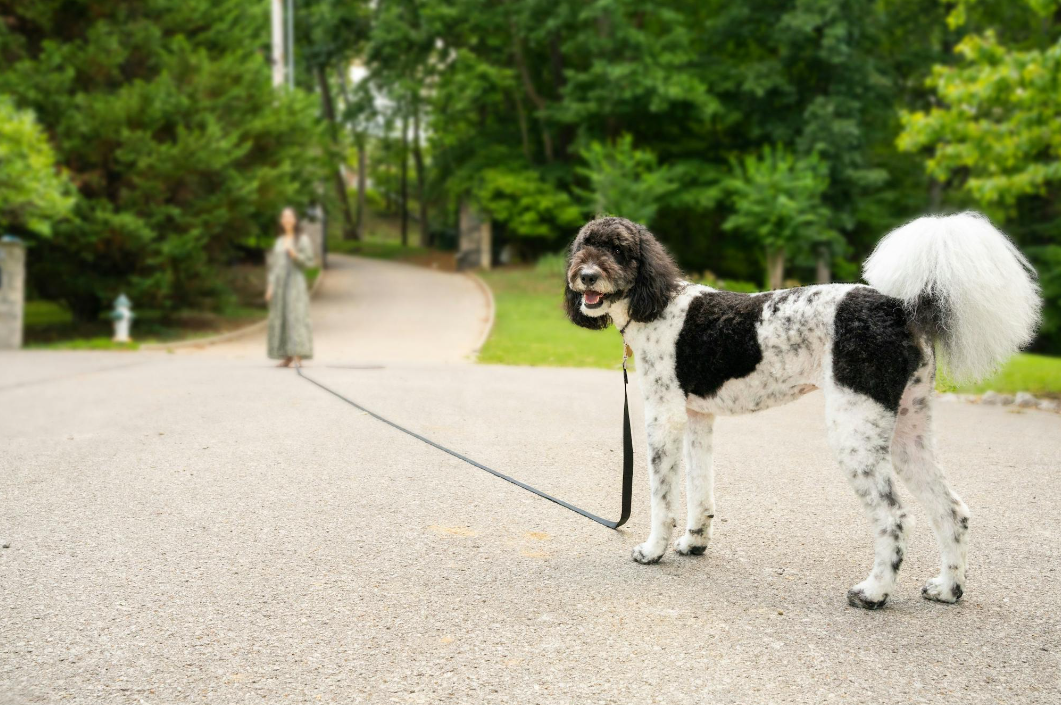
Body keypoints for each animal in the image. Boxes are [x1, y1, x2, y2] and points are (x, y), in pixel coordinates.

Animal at [568, 212, 1039, 607]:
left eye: (619, 249)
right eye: (582, 246)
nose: (585, 275)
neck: (656, 302)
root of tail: (898, 308)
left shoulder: (663, 418)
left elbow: (661, 496)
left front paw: (653, 550)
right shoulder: (698, 418)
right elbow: (700, 488)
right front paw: (694, 542)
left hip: (855, 432)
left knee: (893, 516)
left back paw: (874, 592)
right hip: (909, 432)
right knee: (952, 511)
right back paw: (947, 588)